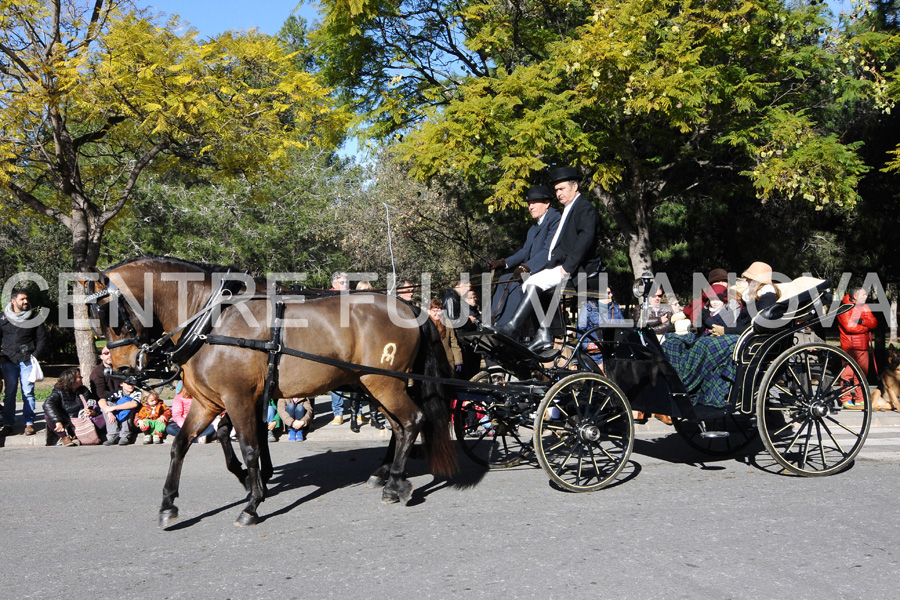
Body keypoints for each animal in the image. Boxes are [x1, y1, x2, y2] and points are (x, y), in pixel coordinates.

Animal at [86, 255, 458, 528]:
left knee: (412, 421)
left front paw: (252, 501)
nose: (121, 370)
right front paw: (168, 504)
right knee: (399, 426)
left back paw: (396, 483)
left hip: (383, 383)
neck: (211, 320)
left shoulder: (238, 398)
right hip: (372, 385)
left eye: (112, 314)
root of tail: (410, 307)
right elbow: (181, 446)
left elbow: (250, 447)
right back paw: (386, 476)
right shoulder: (209, 402)